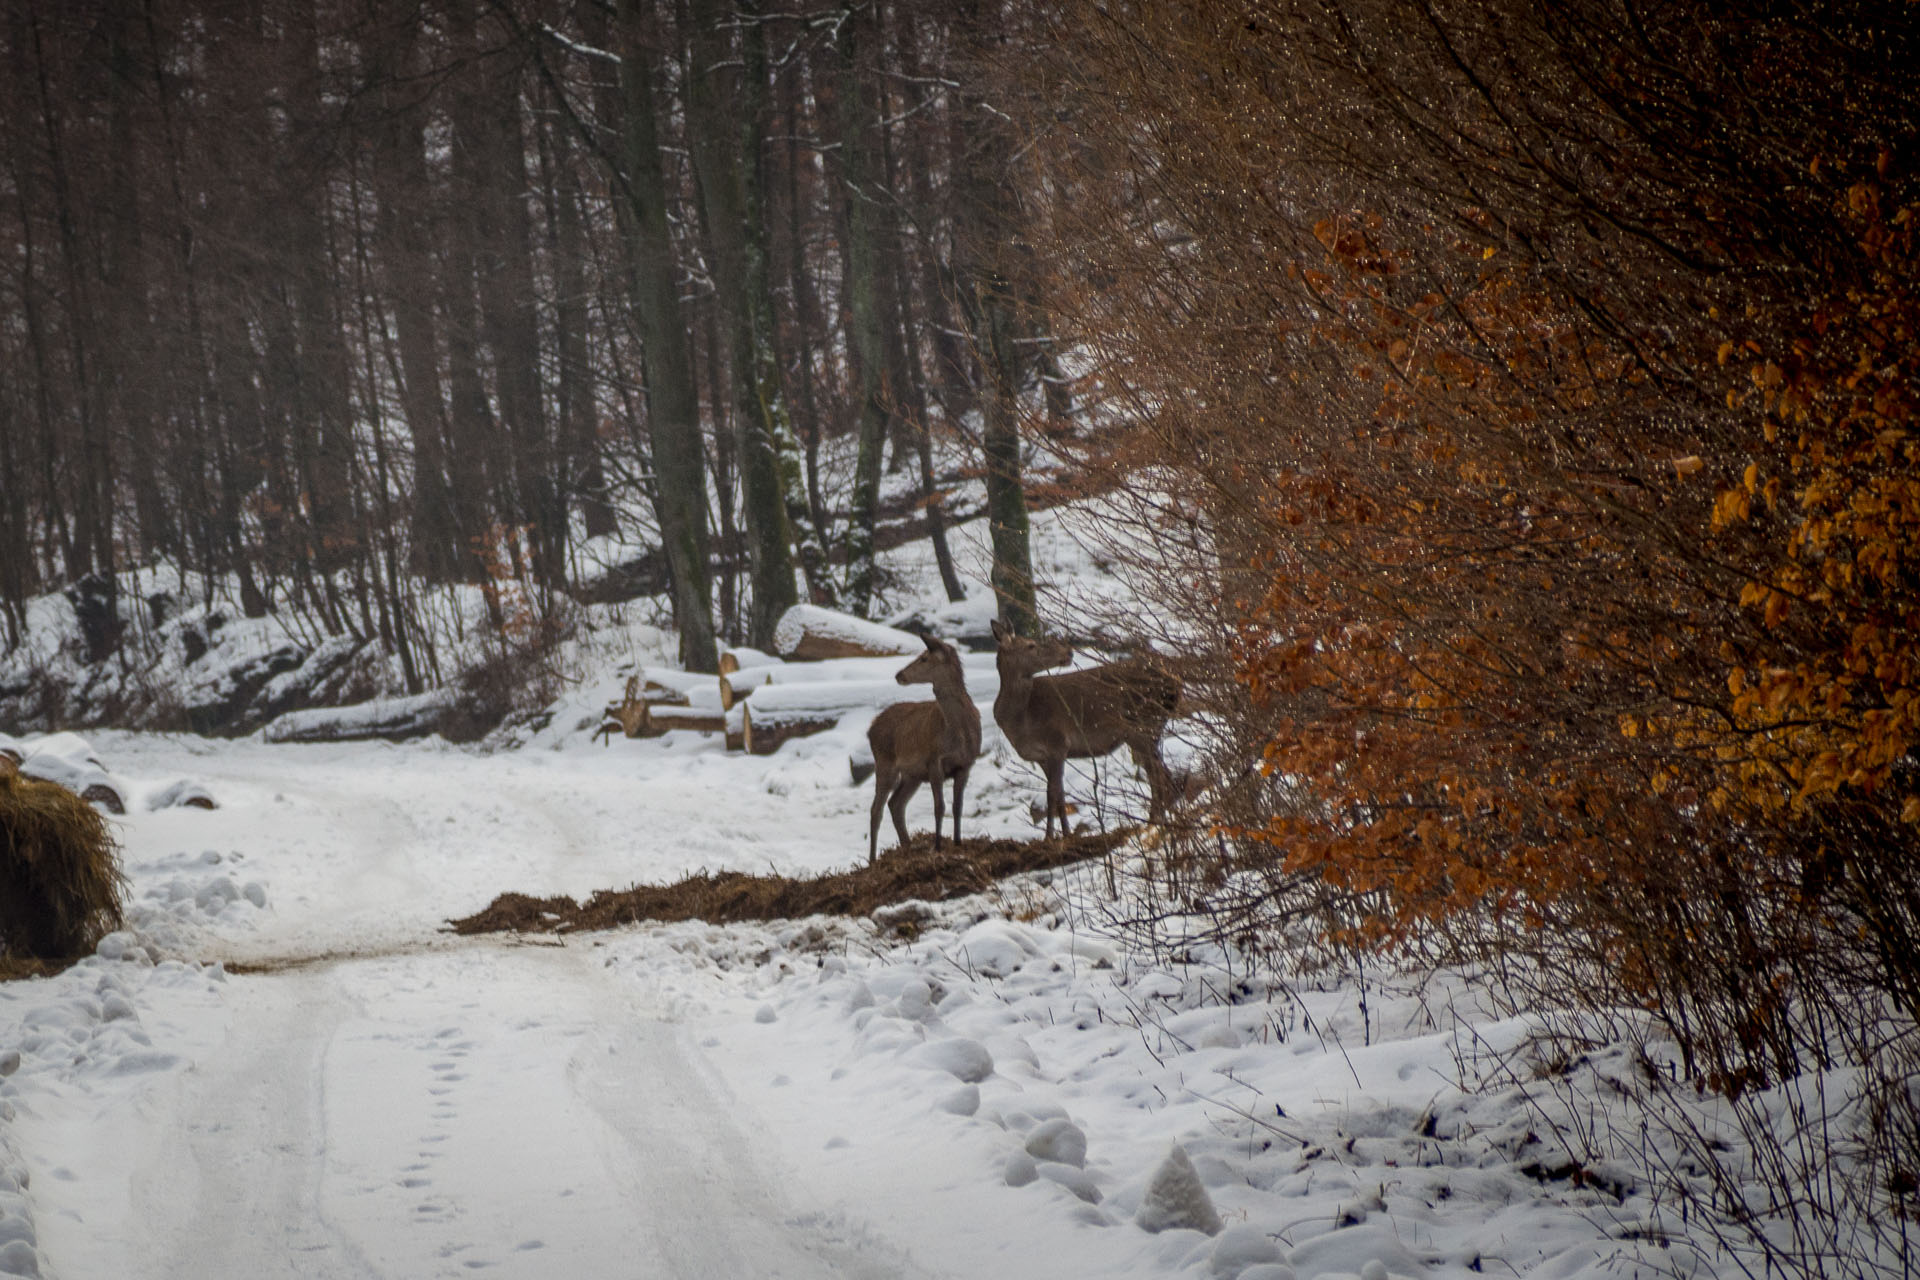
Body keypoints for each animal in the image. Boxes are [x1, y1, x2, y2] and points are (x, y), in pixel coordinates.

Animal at [875, 637, 990, 867]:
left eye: (924, 658)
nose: (899, 674)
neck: (959, 732)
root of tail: (870, 728)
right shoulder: (934, 761)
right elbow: (939, 807)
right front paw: (937, 846)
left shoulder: (966, 765)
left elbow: (957, 806)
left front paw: (957, 842)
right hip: (884, 764)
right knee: (877, 810)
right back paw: (872, 859)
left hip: (912, 776)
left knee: (895, 804)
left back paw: (907, 846)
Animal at [990, 621, 1182, 840]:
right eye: (1031, 645)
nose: (1068, 652)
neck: (1022, 719)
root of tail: (1175, 680)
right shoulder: (1042, 757)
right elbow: (1058, 794)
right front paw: (1062, 834)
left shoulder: (1058, 743)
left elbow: (1052, 794)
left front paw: (1055, 837)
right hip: (1147, 730)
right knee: (1161, 775)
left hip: (1142, 726)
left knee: (1160, 776)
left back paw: (1154, 823)